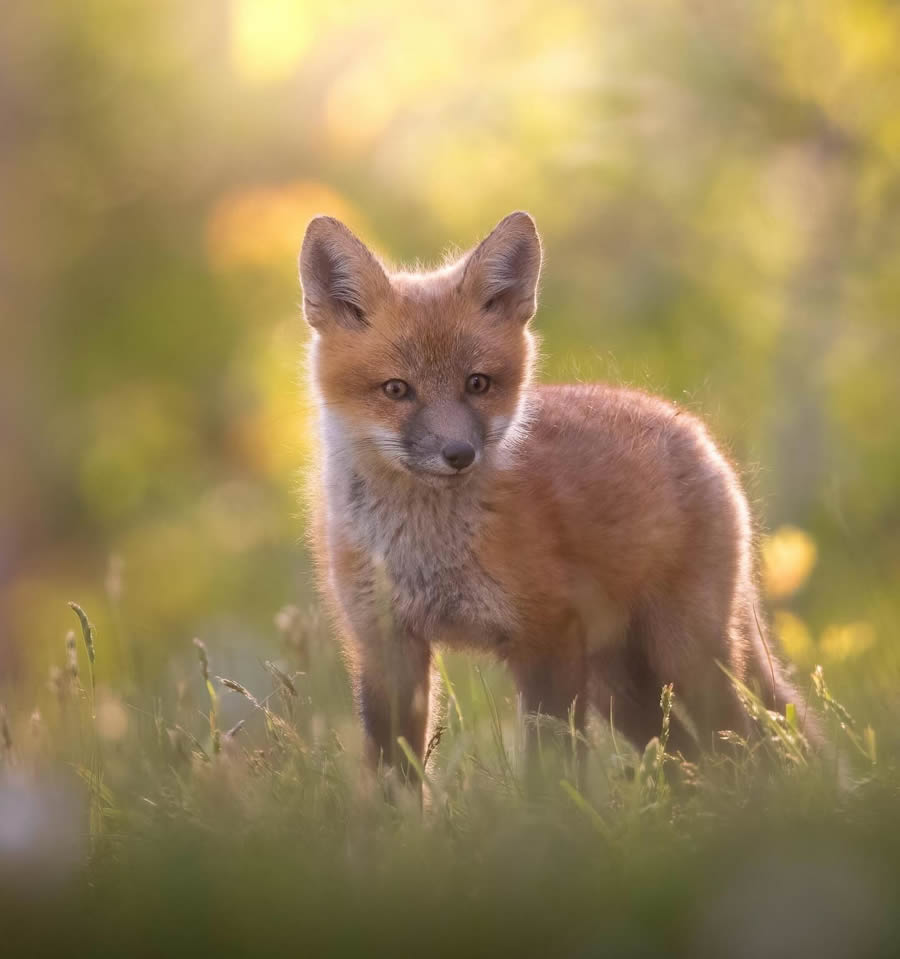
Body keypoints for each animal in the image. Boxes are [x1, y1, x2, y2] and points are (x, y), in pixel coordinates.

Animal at [298, 212, 804, 780]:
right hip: (625, 689)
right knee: (695, 757)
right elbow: (395, 778)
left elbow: (551, 771)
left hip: (685, 660)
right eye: (396, 389)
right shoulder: (384, 647)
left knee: (746, 741)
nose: (459, 454)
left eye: (478, 384)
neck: (427, 552)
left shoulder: (548, 640)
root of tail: (690, 426)